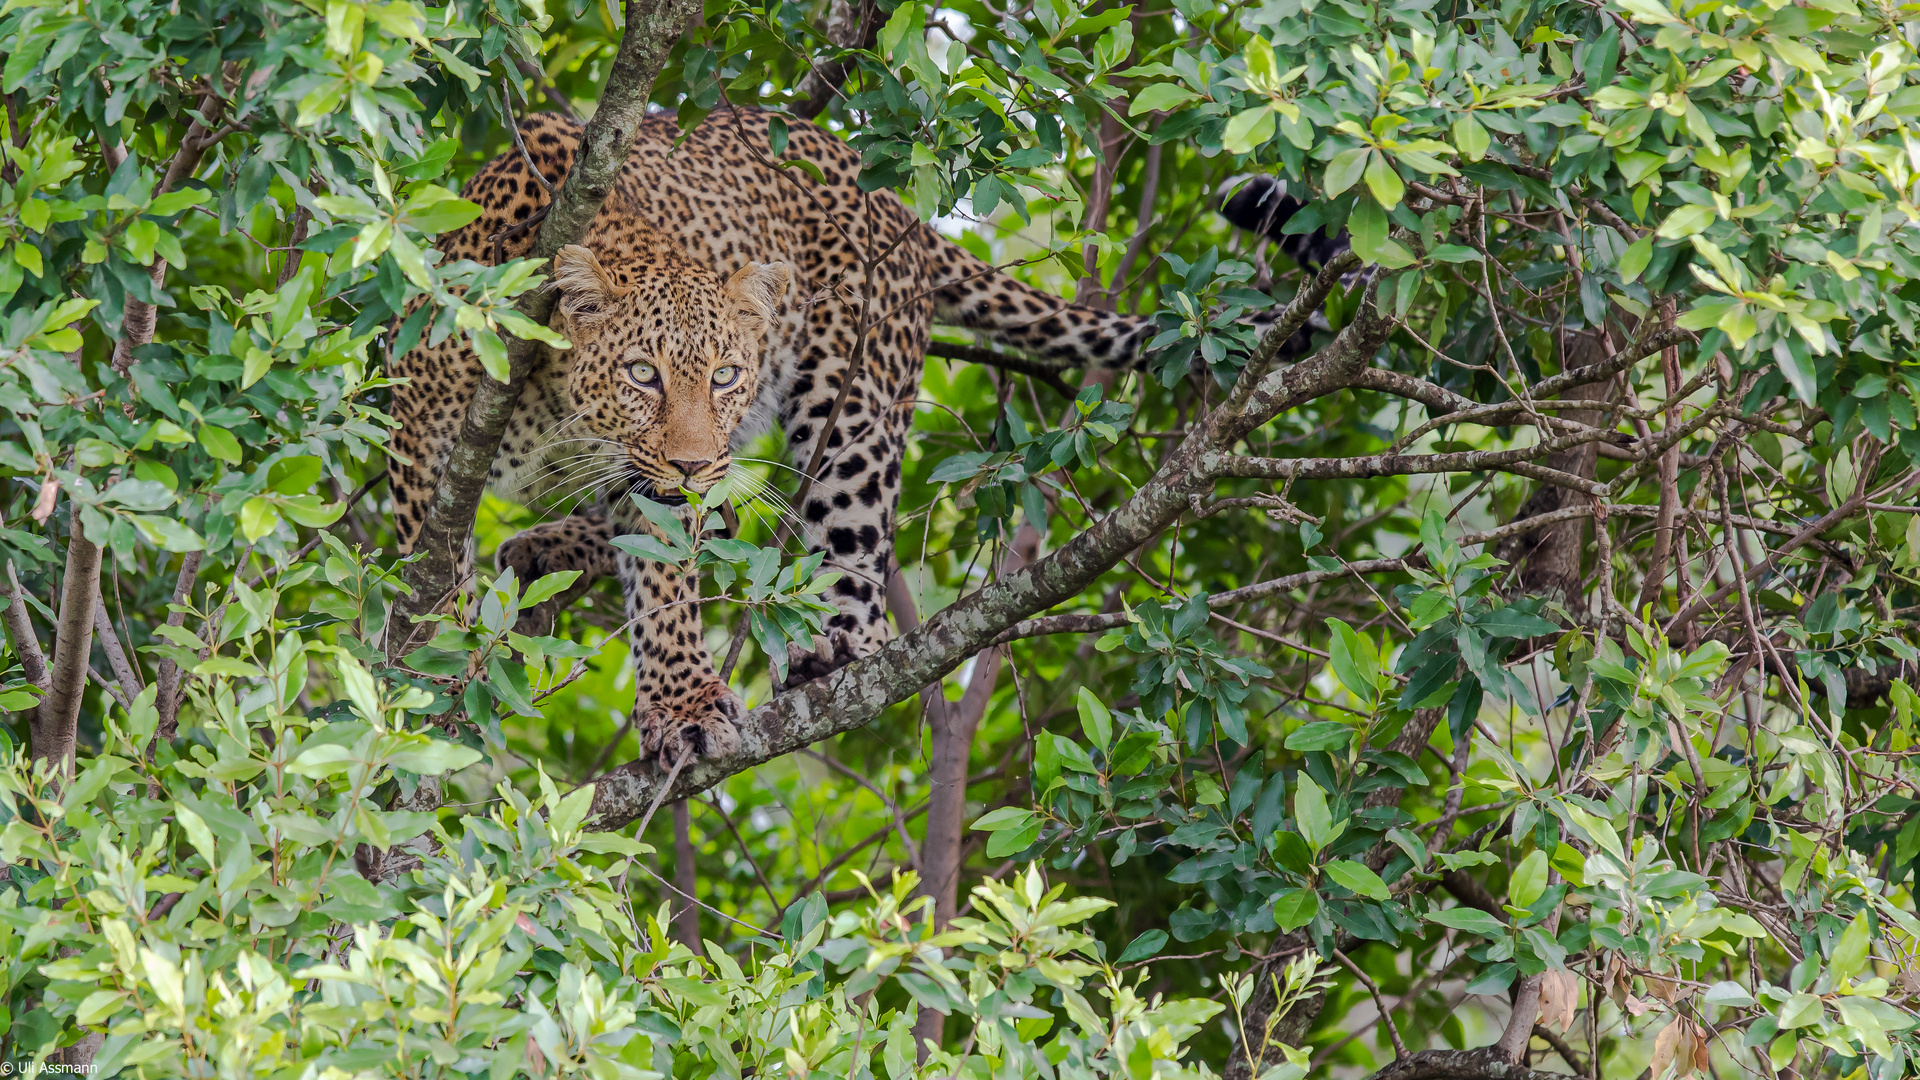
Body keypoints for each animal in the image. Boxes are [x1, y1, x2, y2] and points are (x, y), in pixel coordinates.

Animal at [385, 105, 1351, 764]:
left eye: (724, 376)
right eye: (642, 375)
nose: (693, 462)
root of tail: (885, 185)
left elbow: (665, 585)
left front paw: (684, 706)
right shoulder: (418, 441)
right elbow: (429, 583)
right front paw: (436, 681)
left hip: (851, 401)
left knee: (833, 552)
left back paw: (830, 650)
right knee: (713, 518)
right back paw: (546, 549)